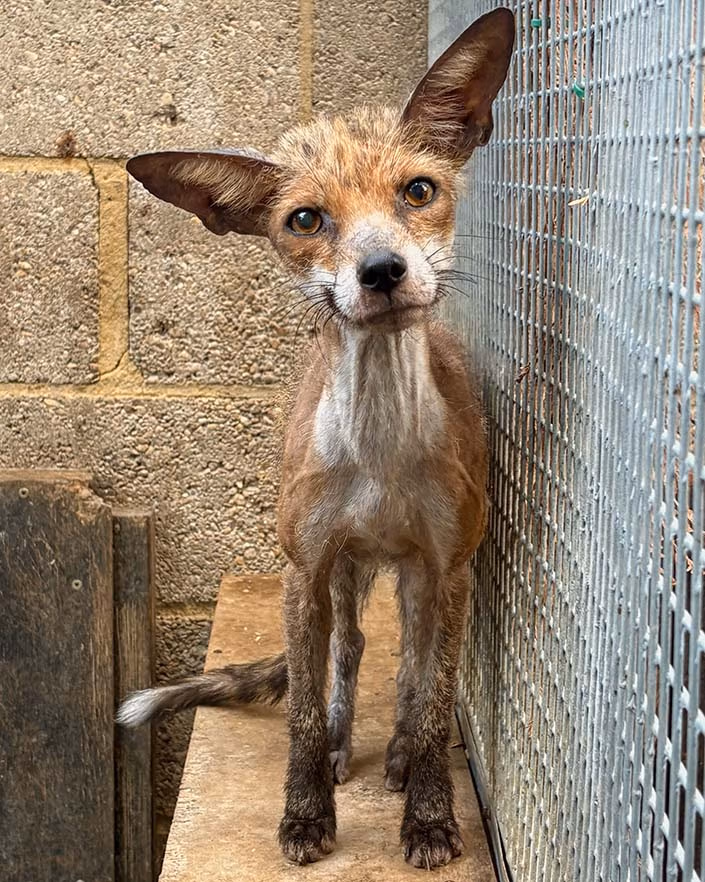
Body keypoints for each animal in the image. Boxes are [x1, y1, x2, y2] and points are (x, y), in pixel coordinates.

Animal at [118, 7, 515, 871]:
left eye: (417, 191)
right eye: (305, 219)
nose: (382, 272)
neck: (380, 454)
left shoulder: (448, 566)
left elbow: (432, 704)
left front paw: (429, 819)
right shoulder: (304, 569)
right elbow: (301, 708)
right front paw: (305, 816)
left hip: (408, 578)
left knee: (405, 671)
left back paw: (393, 755)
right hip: (341, 573)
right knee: (350, 652)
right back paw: (341, 744)